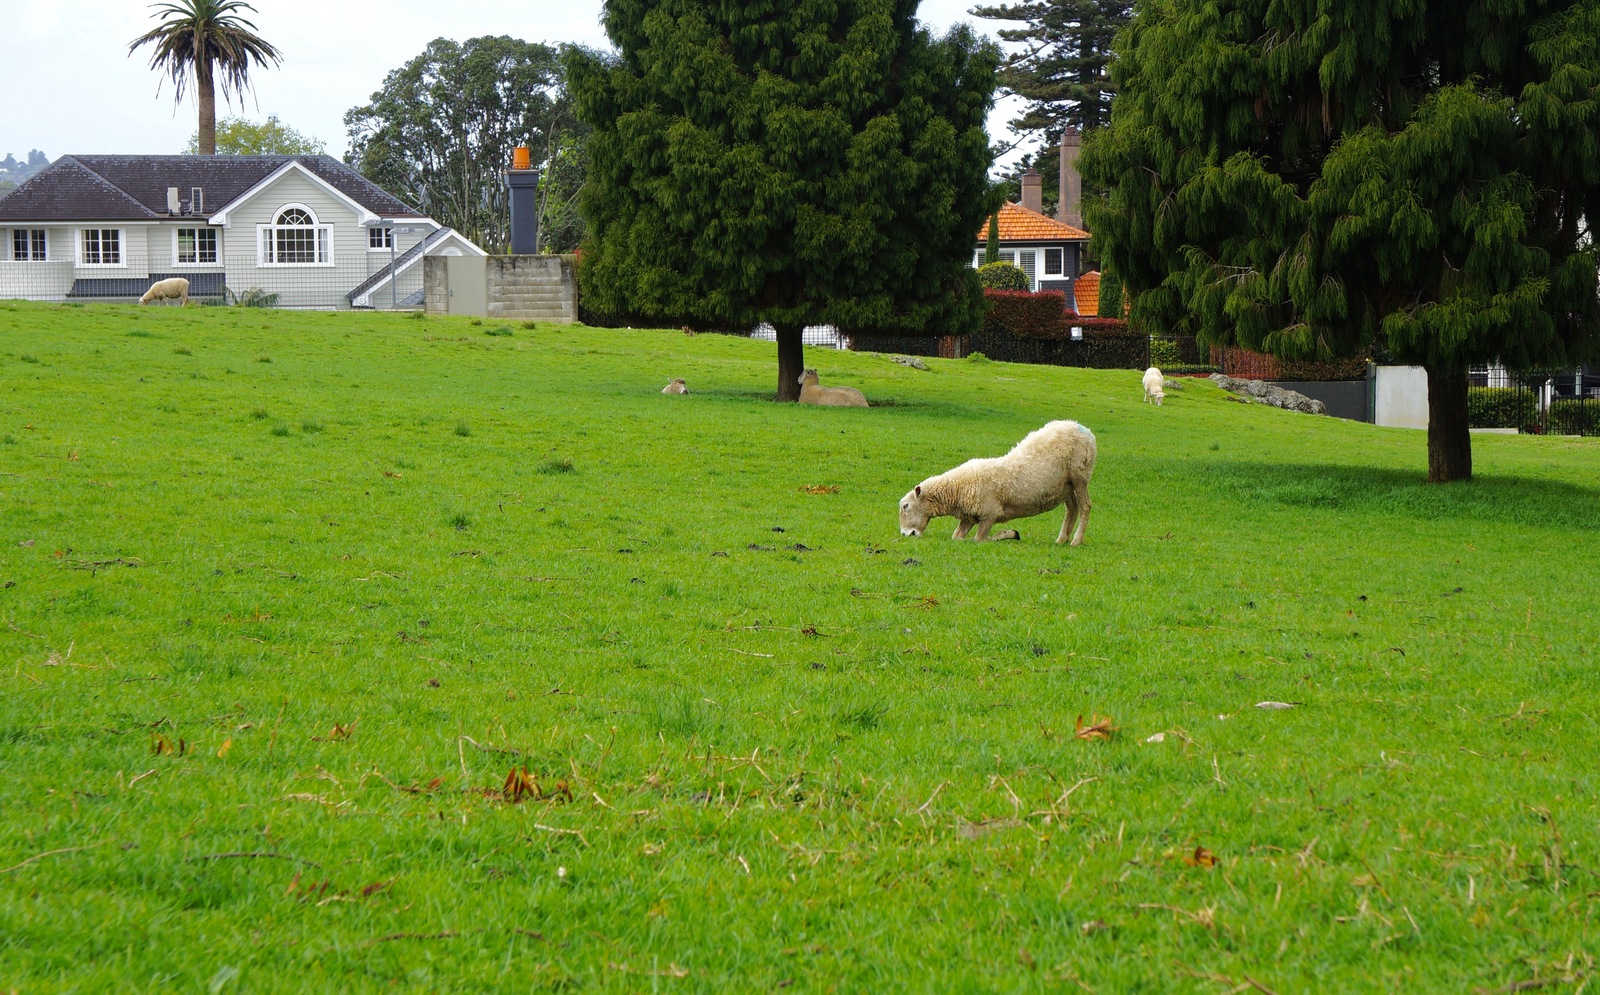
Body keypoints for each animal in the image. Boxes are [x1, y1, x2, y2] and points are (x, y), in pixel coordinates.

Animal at [902, 419, 1100, 547]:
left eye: (906, 506)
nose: (905, 534)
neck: (957, 489)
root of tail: (1084, 429)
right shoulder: (969, 517)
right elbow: (956, 537)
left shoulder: (989, 514)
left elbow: (979, 540)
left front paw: (1009, 534)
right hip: (1066, 485)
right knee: (1072, 508)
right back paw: (1062, 539)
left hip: (1079, 475)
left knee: (1085, 506)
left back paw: (1076, 541)